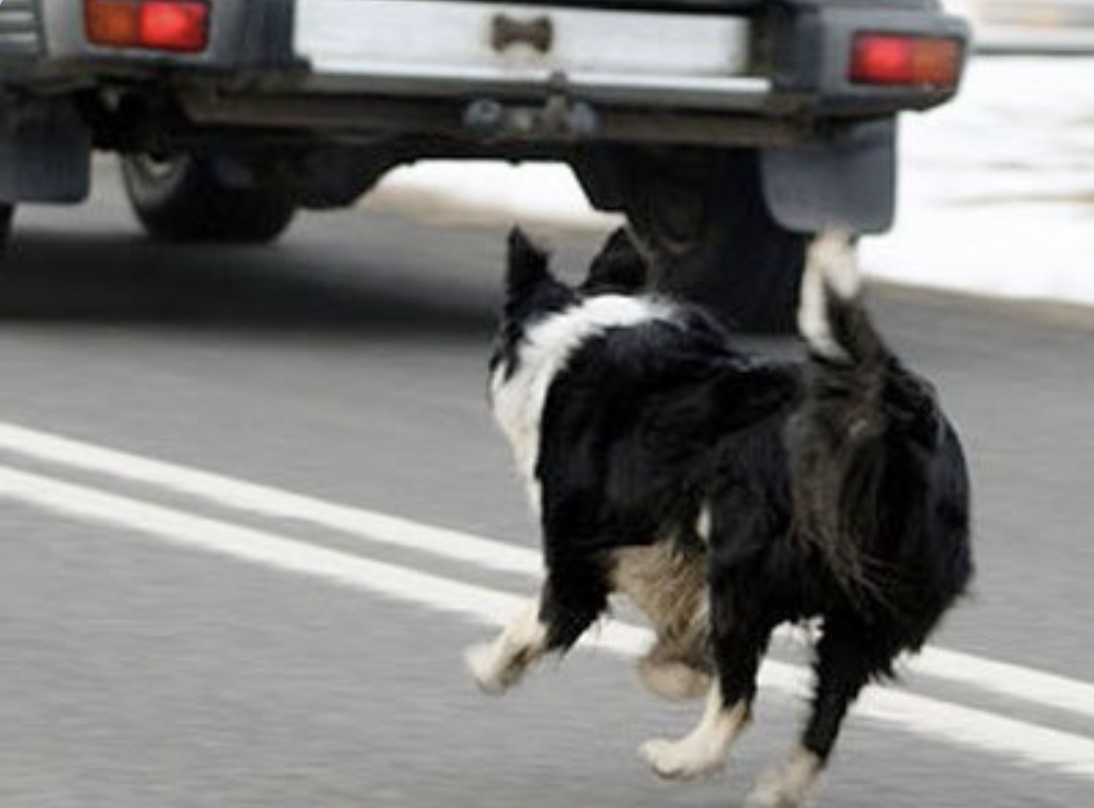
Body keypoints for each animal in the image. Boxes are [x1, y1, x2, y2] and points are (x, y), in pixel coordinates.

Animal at [470, 227, 975, 808]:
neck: (579, 328)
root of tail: (894, 411)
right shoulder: (664, 551)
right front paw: (677, 668)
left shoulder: (578, 556)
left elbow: (537, 624)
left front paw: (490, 669)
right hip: (867, 613)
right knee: (823, 715)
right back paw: (778, 787)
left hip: (741, 578)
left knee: (739, 699)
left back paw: (679, 758)